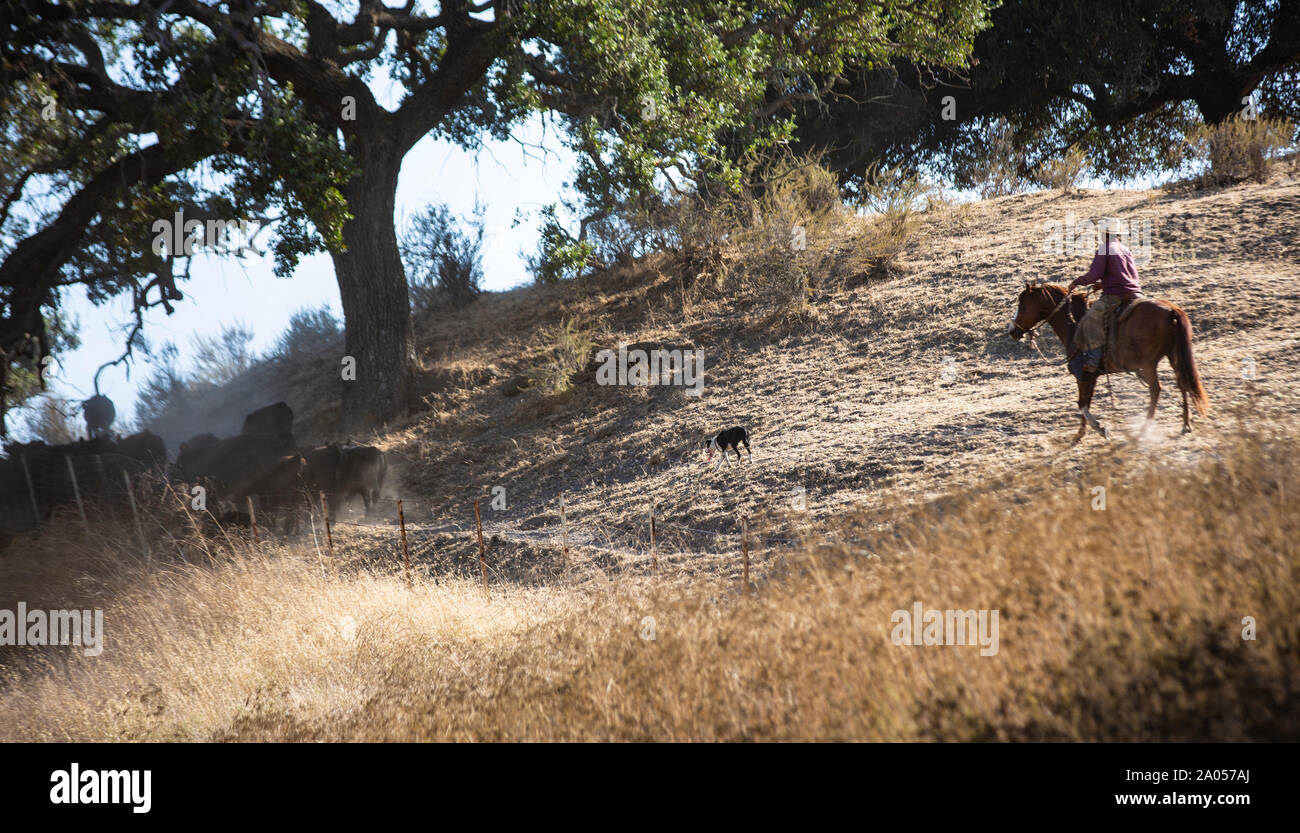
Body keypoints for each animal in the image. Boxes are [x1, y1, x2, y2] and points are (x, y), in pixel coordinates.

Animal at [1003, 283, 1206, 441]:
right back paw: (1186, 424)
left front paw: (1100, 429)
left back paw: (1144, 428)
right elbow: (1086, 401)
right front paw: (1081, 433)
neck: (1074, 325)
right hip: (1174, 356)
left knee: (1156, 389)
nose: (1012, 331)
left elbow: (1081, 403)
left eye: (1022, 305)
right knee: (1183, 383)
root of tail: (1171, 311)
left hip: (1148, 363)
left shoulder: (1083, 374)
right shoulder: (1092, 376)